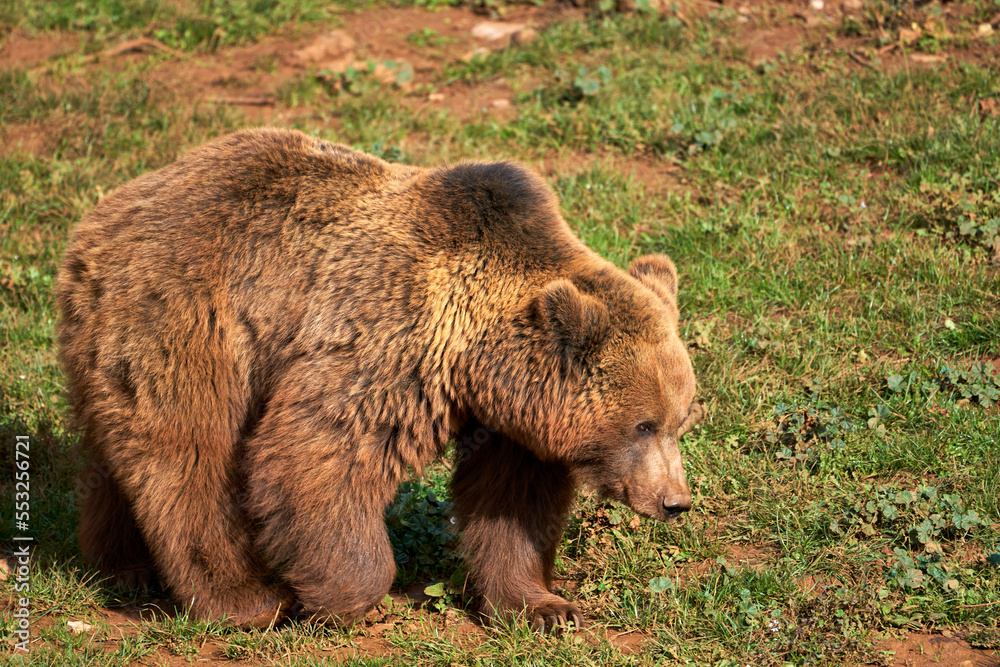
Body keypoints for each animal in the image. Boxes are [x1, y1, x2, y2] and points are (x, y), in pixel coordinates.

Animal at [56, 127, 702, 632]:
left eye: (681, 421)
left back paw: (124, 566)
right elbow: (319, 452)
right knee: (189, 453)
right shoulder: (390, 339)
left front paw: (545, 606)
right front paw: (344, 597)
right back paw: (244, 599)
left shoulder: (515, 423)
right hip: (185, 316)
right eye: (643, 424)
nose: (675, 501)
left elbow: (510, 505)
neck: (477, 353)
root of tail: (101, 216)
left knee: (118, 455)